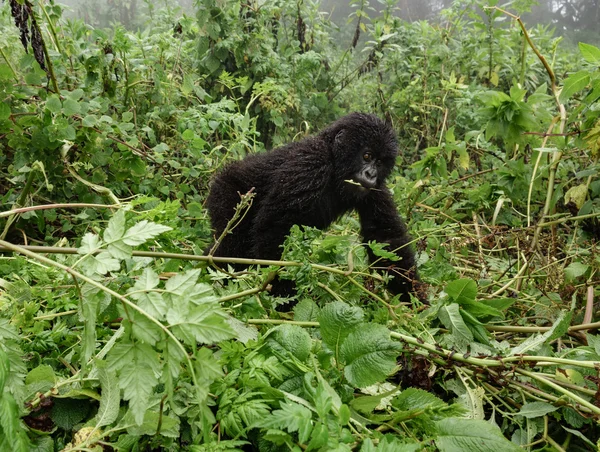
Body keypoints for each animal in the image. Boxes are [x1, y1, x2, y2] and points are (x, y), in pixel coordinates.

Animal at [206, 112, 418, 300]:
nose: (371, 175)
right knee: (232, 246)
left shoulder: (375, 189)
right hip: (228, 193)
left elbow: (386, 239)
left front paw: (416, 303)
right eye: (367, 156)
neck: (334, 159)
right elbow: (275, 230)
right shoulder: (311, 163)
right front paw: (282, 297)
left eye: (380, 162)